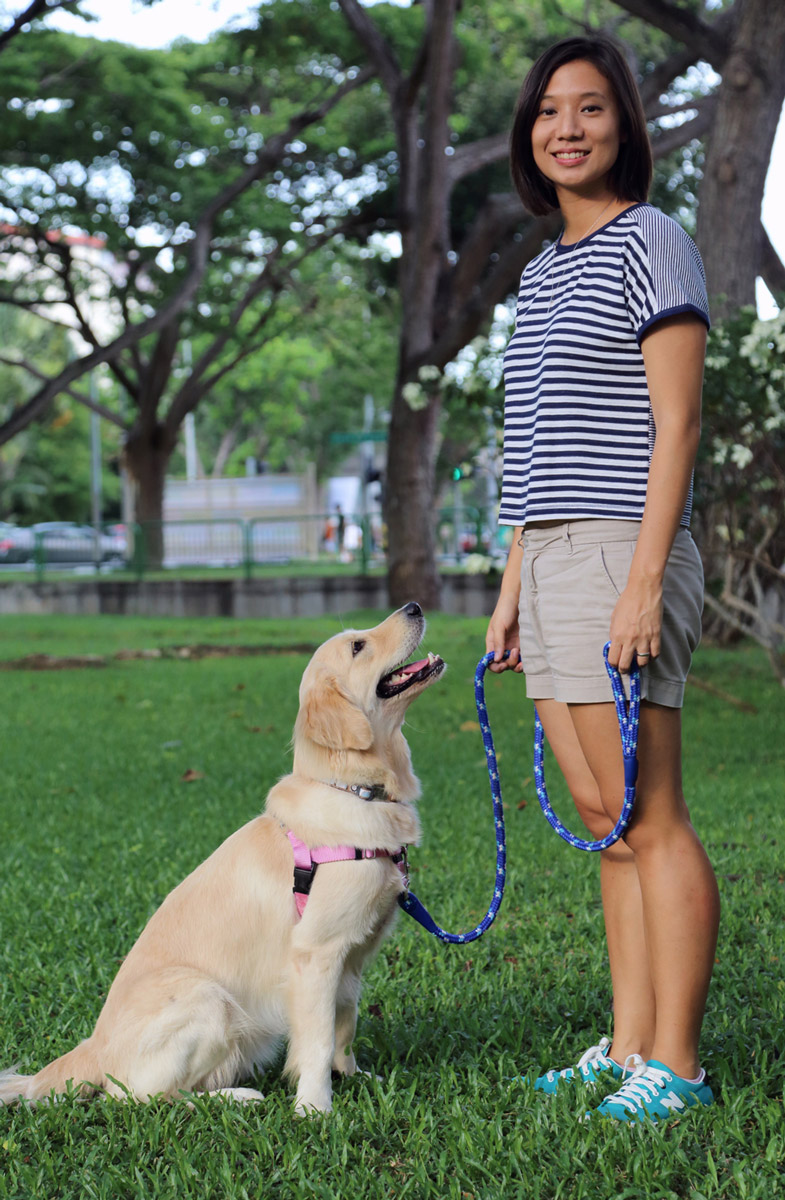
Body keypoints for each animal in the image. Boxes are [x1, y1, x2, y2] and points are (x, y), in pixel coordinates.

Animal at [0, 600, 441, 1113]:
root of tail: (93, 1048)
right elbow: (316, 1041)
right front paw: (315, 1108)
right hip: (208, 998)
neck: (354, 790)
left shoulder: (351, 960)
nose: (414, 606)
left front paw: (351, 1075)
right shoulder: (316, 955)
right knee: (140, 1097)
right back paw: (237, 1097)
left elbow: (344, 1027)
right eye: (358, 645)